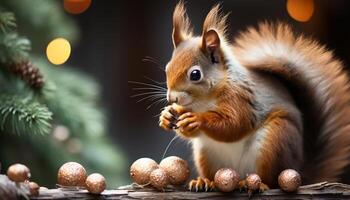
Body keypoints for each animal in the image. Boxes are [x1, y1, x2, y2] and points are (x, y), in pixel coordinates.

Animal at [159, 1, 350, 192]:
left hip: (275, 142)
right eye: (167, 68)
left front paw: (198, 119)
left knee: (272, 181)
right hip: (206, 155)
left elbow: (234, 124)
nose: (172, 98)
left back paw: (255, 184)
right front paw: (167, 116)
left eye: (195, 74)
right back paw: (206, 181)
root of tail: (299, 168)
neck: (202, 102)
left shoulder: (241, 99)